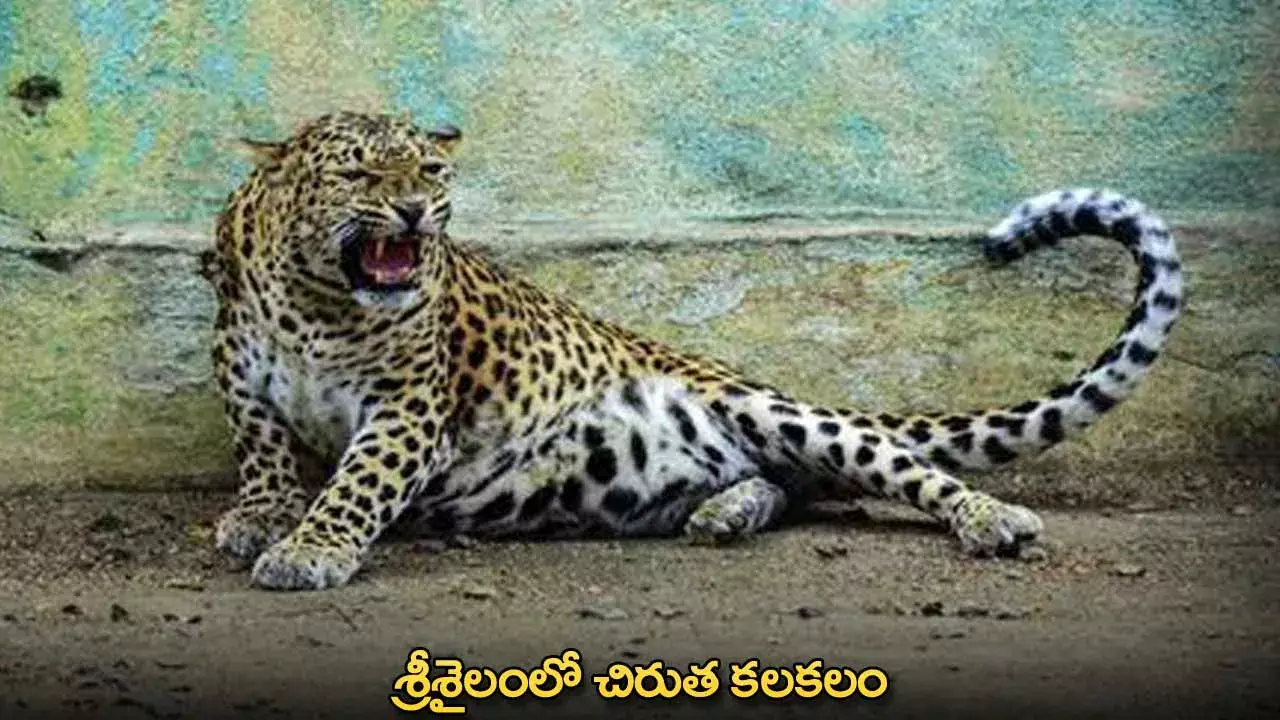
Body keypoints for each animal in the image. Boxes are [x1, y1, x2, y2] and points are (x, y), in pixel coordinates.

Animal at [206, 111, 1184, 591]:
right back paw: (724, 513)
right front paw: (263, 514)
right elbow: (261, 448)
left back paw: (992, 520)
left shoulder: (408, 405)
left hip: (776, 411)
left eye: (432, 172)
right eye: (359, 172)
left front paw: (310, 548)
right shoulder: (240, 373)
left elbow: (358, 483)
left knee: (900, 468)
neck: (316, 301)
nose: (414, 211)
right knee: (784, 485)